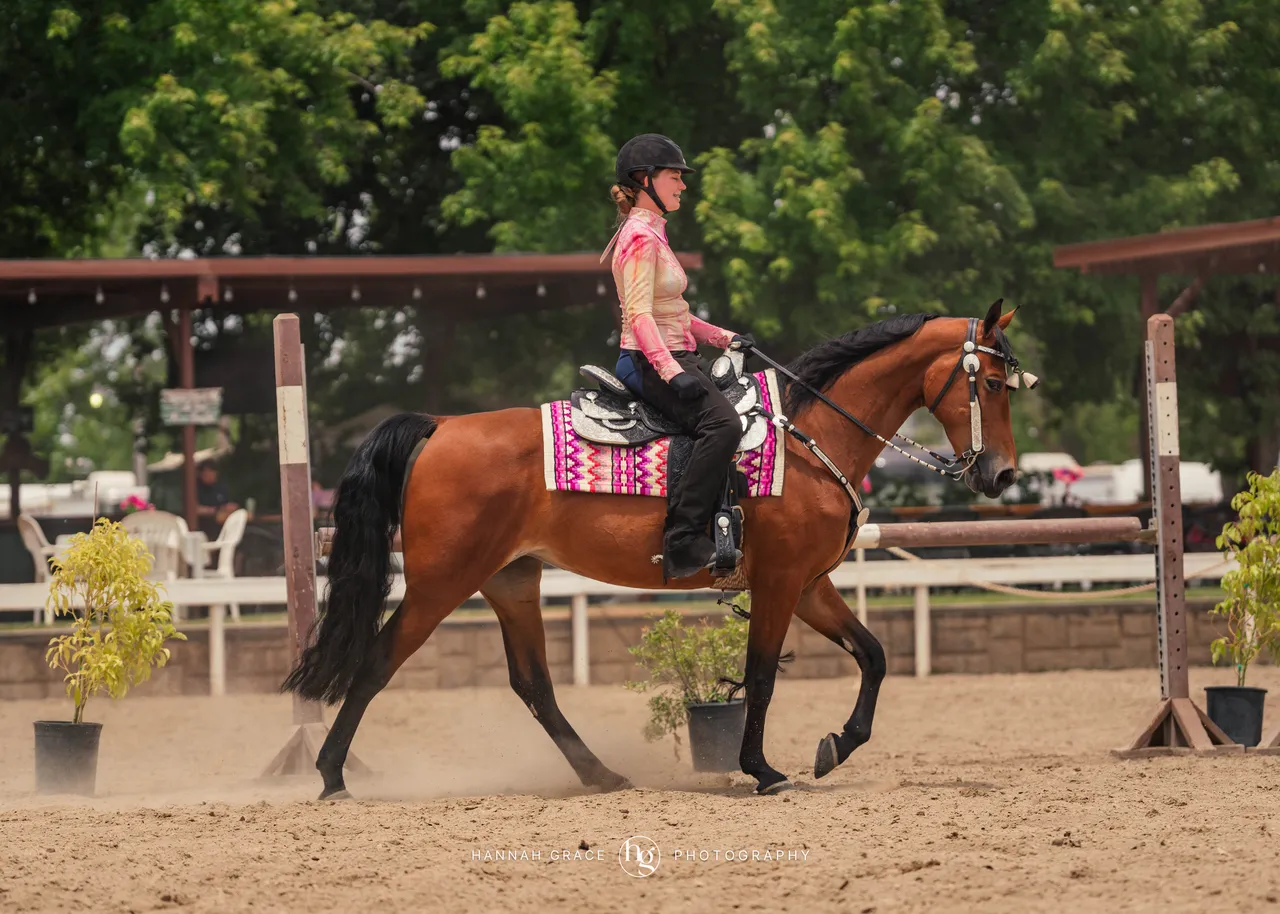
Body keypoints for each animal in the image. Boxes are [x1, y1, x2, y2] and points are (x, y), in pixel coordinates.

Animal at [283, 299, 1029, 798]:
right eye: (991, 384)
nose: (1001, 475)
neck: (810, 438)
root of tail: (439, 426)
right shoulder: (781, 583)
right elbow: (762, 676)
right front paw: (762, 770)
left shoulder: (810, 584)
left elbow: (873, 655)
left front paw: (836, 746)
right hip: (441, 583)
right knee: (376, 662)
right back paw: (330, 774)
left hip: (512, 581)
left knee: (534, 686)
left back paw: (600, 774)